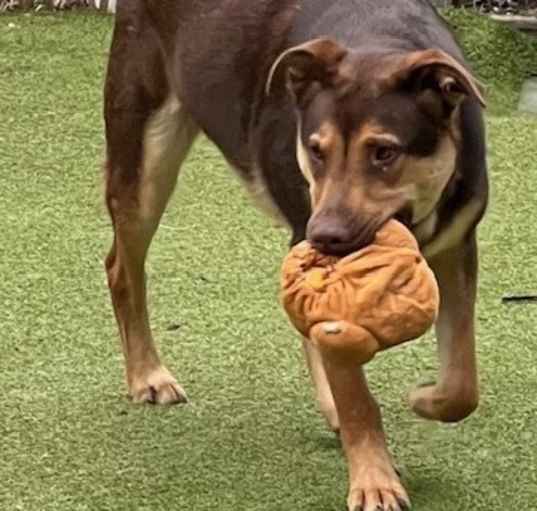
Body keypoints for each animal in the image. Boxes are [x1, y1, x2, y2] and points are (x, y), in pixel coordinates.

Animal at [102, 2, 488, 510]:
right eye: (316, 149)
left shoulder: (458, 247)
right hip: (146, 153)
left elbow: (463, 382)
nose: (323, 237)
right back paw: (147, 374)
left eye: (384, 152)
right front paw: (374, 480)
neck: (378, 38)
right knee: (122, 267)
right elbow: (358, 397)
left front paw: (425, 399)